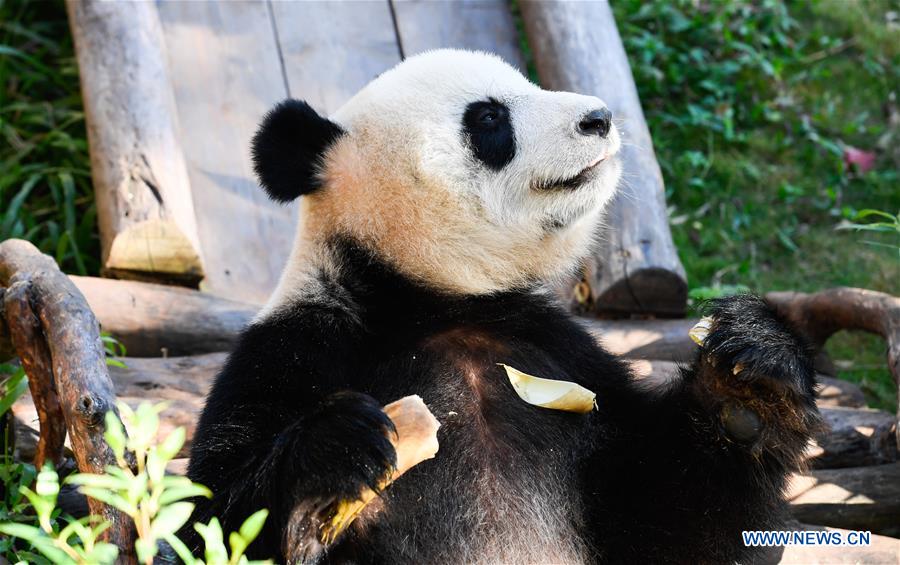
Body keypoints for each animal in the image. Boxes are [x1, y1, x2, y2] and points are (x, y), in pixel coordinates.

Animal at [185, 50, 820, 564]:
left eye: (529, 84)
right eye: (489, 118)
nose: (599, 117)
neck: (431, 299)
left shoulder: (558, 350)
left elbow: (677, 520)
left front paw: (749, 379)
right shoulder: (299, 345)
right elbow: (207, 518)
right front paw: (336, 451)